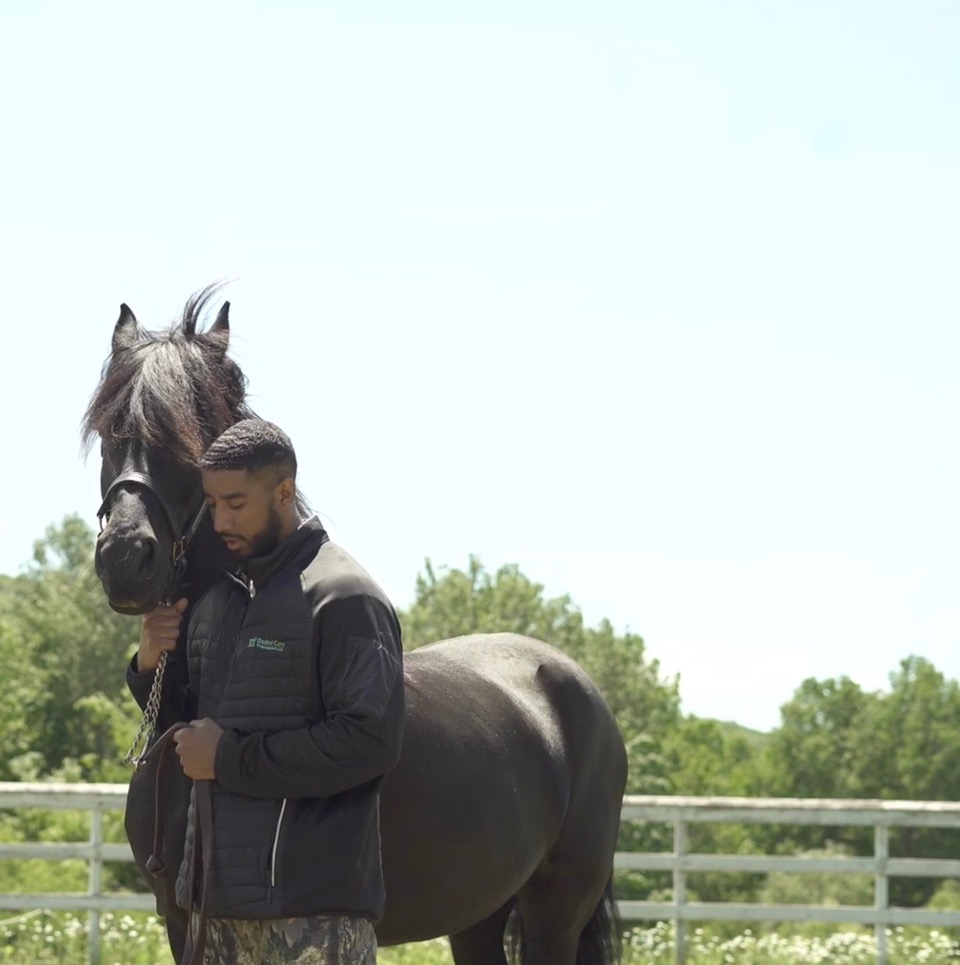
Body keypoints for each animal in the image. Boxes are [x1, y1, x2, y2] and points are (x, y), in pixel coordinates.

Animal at [82, 287, 628, 965]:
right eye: (110, 432)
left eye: (193, 438)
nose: (127, 558)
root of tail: (575, 686)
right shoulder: (182, 921)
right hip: (478, 914)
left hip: (557, 913)